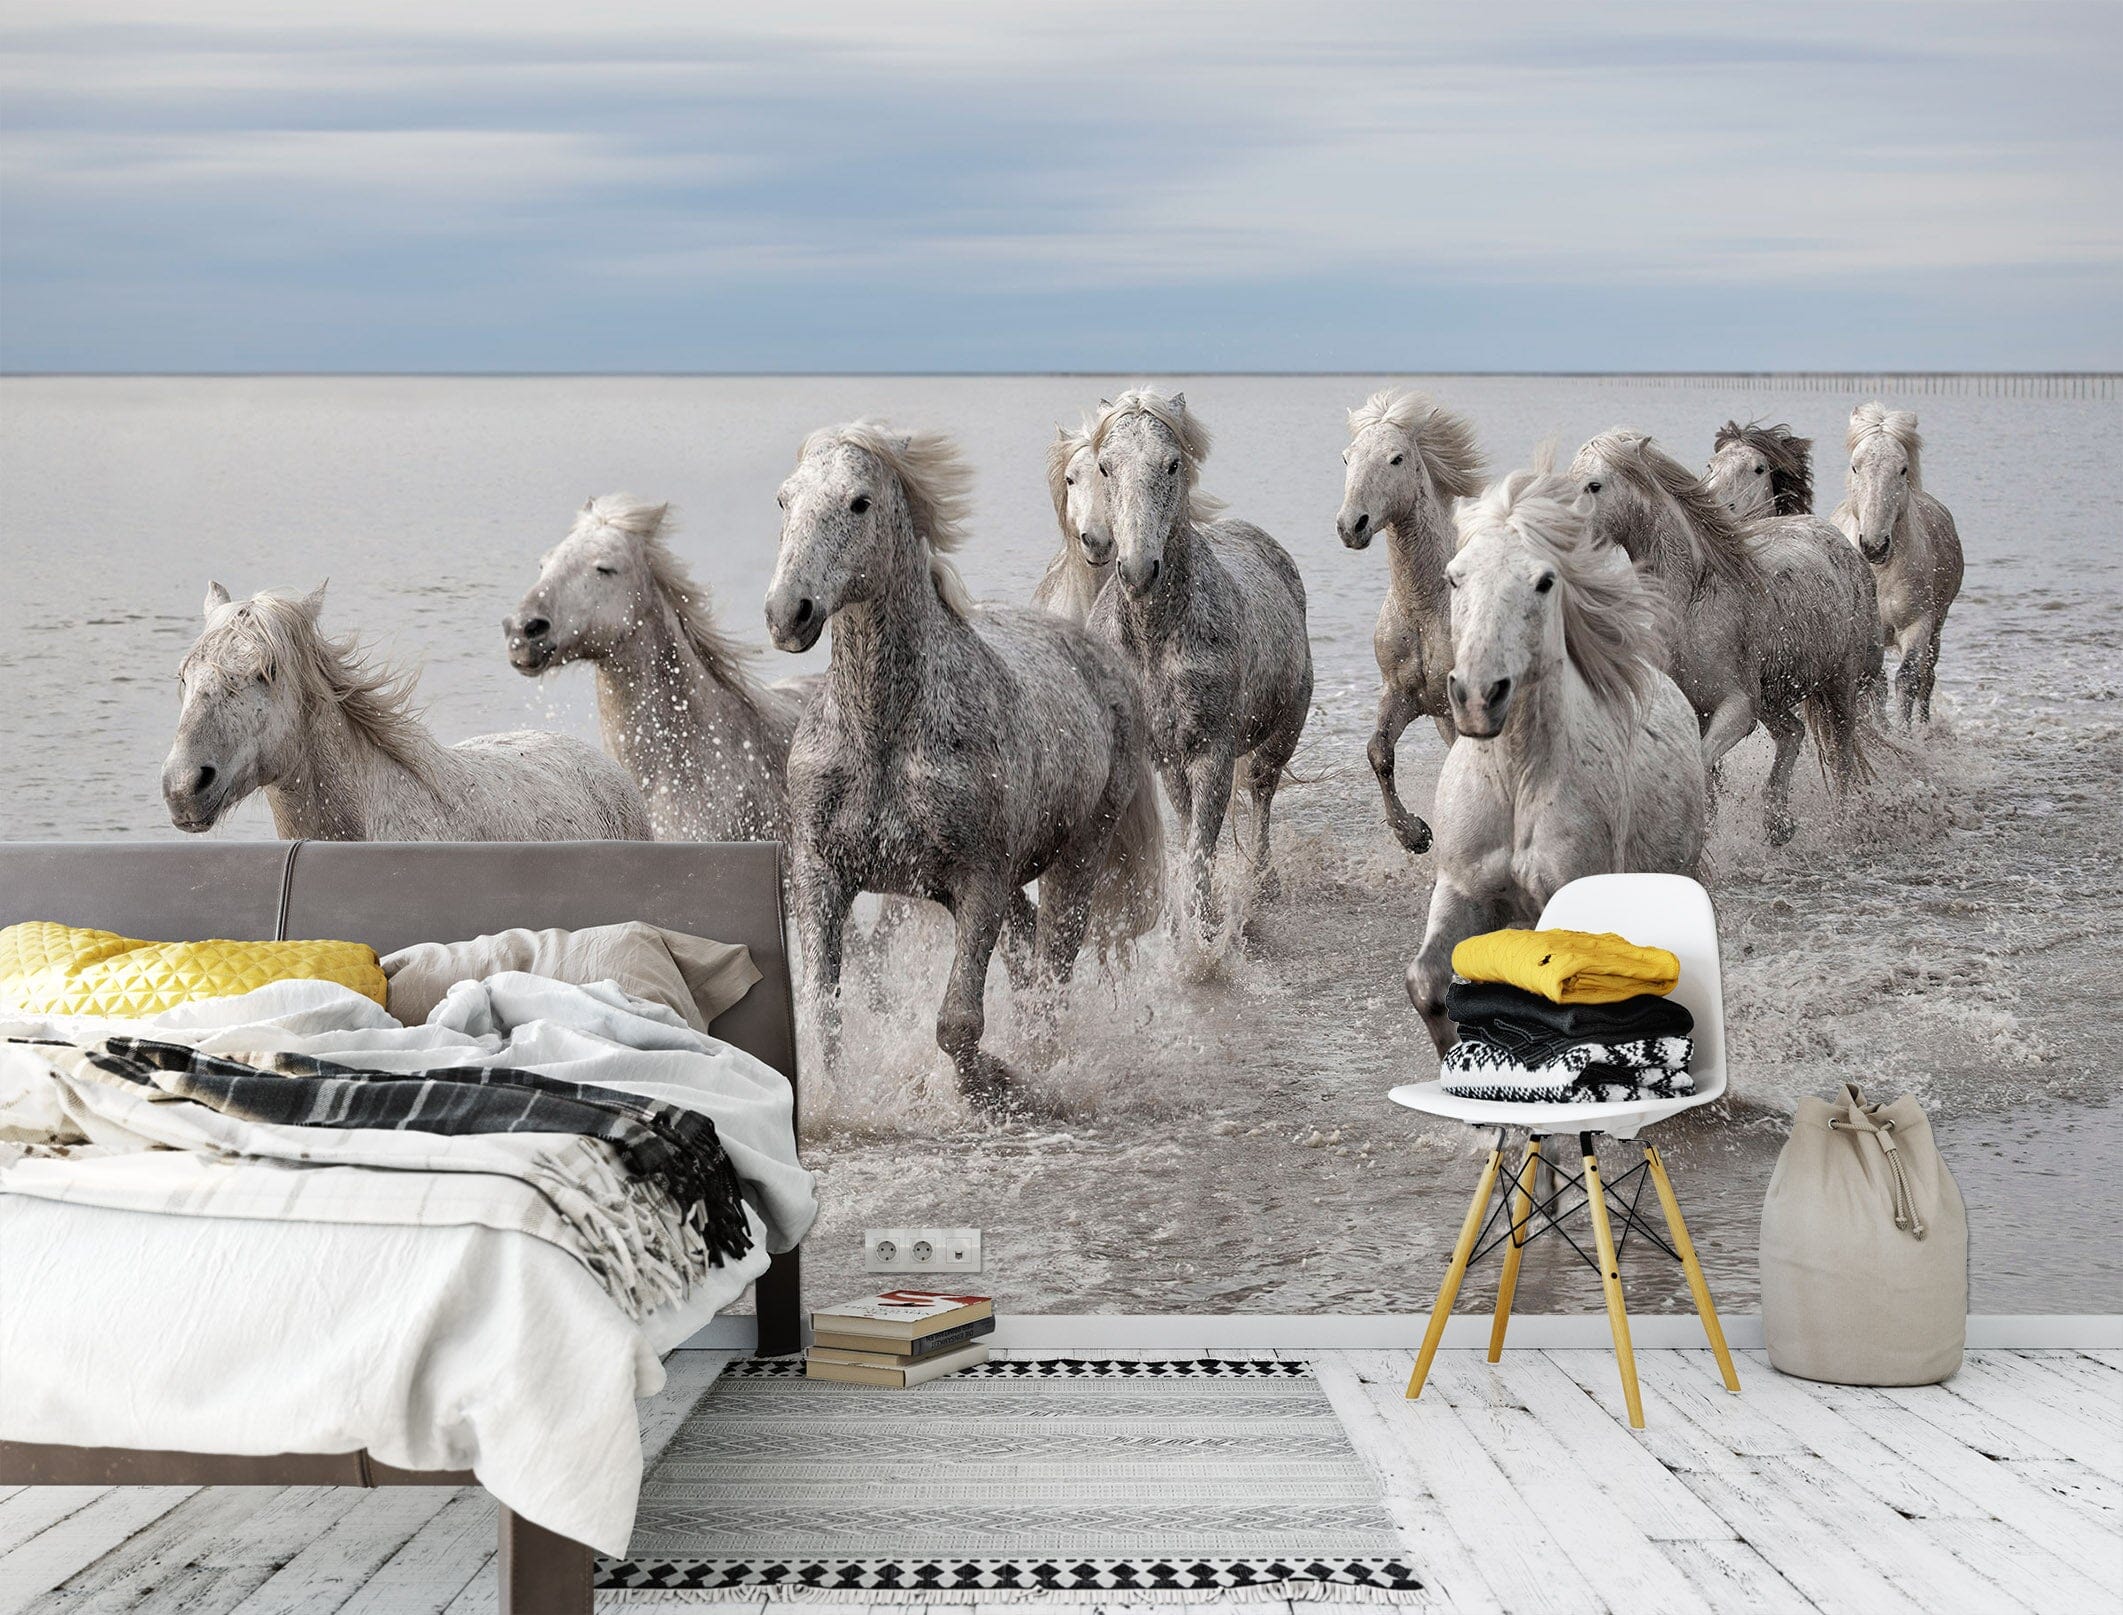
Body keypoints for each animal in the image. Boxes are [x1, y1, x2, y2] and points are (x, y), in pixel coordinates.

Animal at [1084, 389, 1313, 941]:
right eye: (1104, 466)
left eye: (1172, 464)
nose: (1138, 570)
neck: (1157, 639)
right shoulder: (1167, 755)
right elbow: (1191, 833)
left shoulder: (1213, 751)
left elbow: (1202, 844)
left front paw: (1205, 938)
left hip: (1282, 732)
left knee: (1262, 796)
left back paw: (1264, 883)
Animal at [1336, 387, 1487, 855]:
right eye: (1347, 458)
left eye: (1396, 458)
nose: (1352, 525)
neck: (1425, 608)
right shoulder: (1403, 694)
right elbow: (1378, 751)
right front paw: (1414, 834)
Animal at [1403, 461, 1706, 1054]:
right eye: (1454, 578)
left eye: (1544, 582)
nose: (1478, 697)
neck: (1519, 782)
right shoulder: (1462, 887)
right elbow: (1428, 983)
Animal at [1571, 429, 1875, 844]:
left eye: (1594, 485)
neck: (1690, 603)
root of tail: (1841, 541)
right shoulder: (1698, 711)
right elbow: (1708, 784)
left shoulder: (1737, 708)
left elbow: (1701, 766)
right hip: (1772, 695)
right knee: (1792, 733)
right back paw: (1778, 824)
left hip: (1838, 686)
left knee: (1842, 757)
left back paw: (1844, 829)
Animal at [1833, 403, 1965, 726]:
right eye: (1855, 467)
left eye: (1902, 469)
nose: (1874, 545)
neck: (1879, 574)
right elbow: (1874, 685)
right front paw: (1881, 728)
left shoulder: (1917, 625)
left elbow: (1907, 679)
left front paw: (1904, 733)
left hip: (1938, 624)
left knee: (1927, 676)